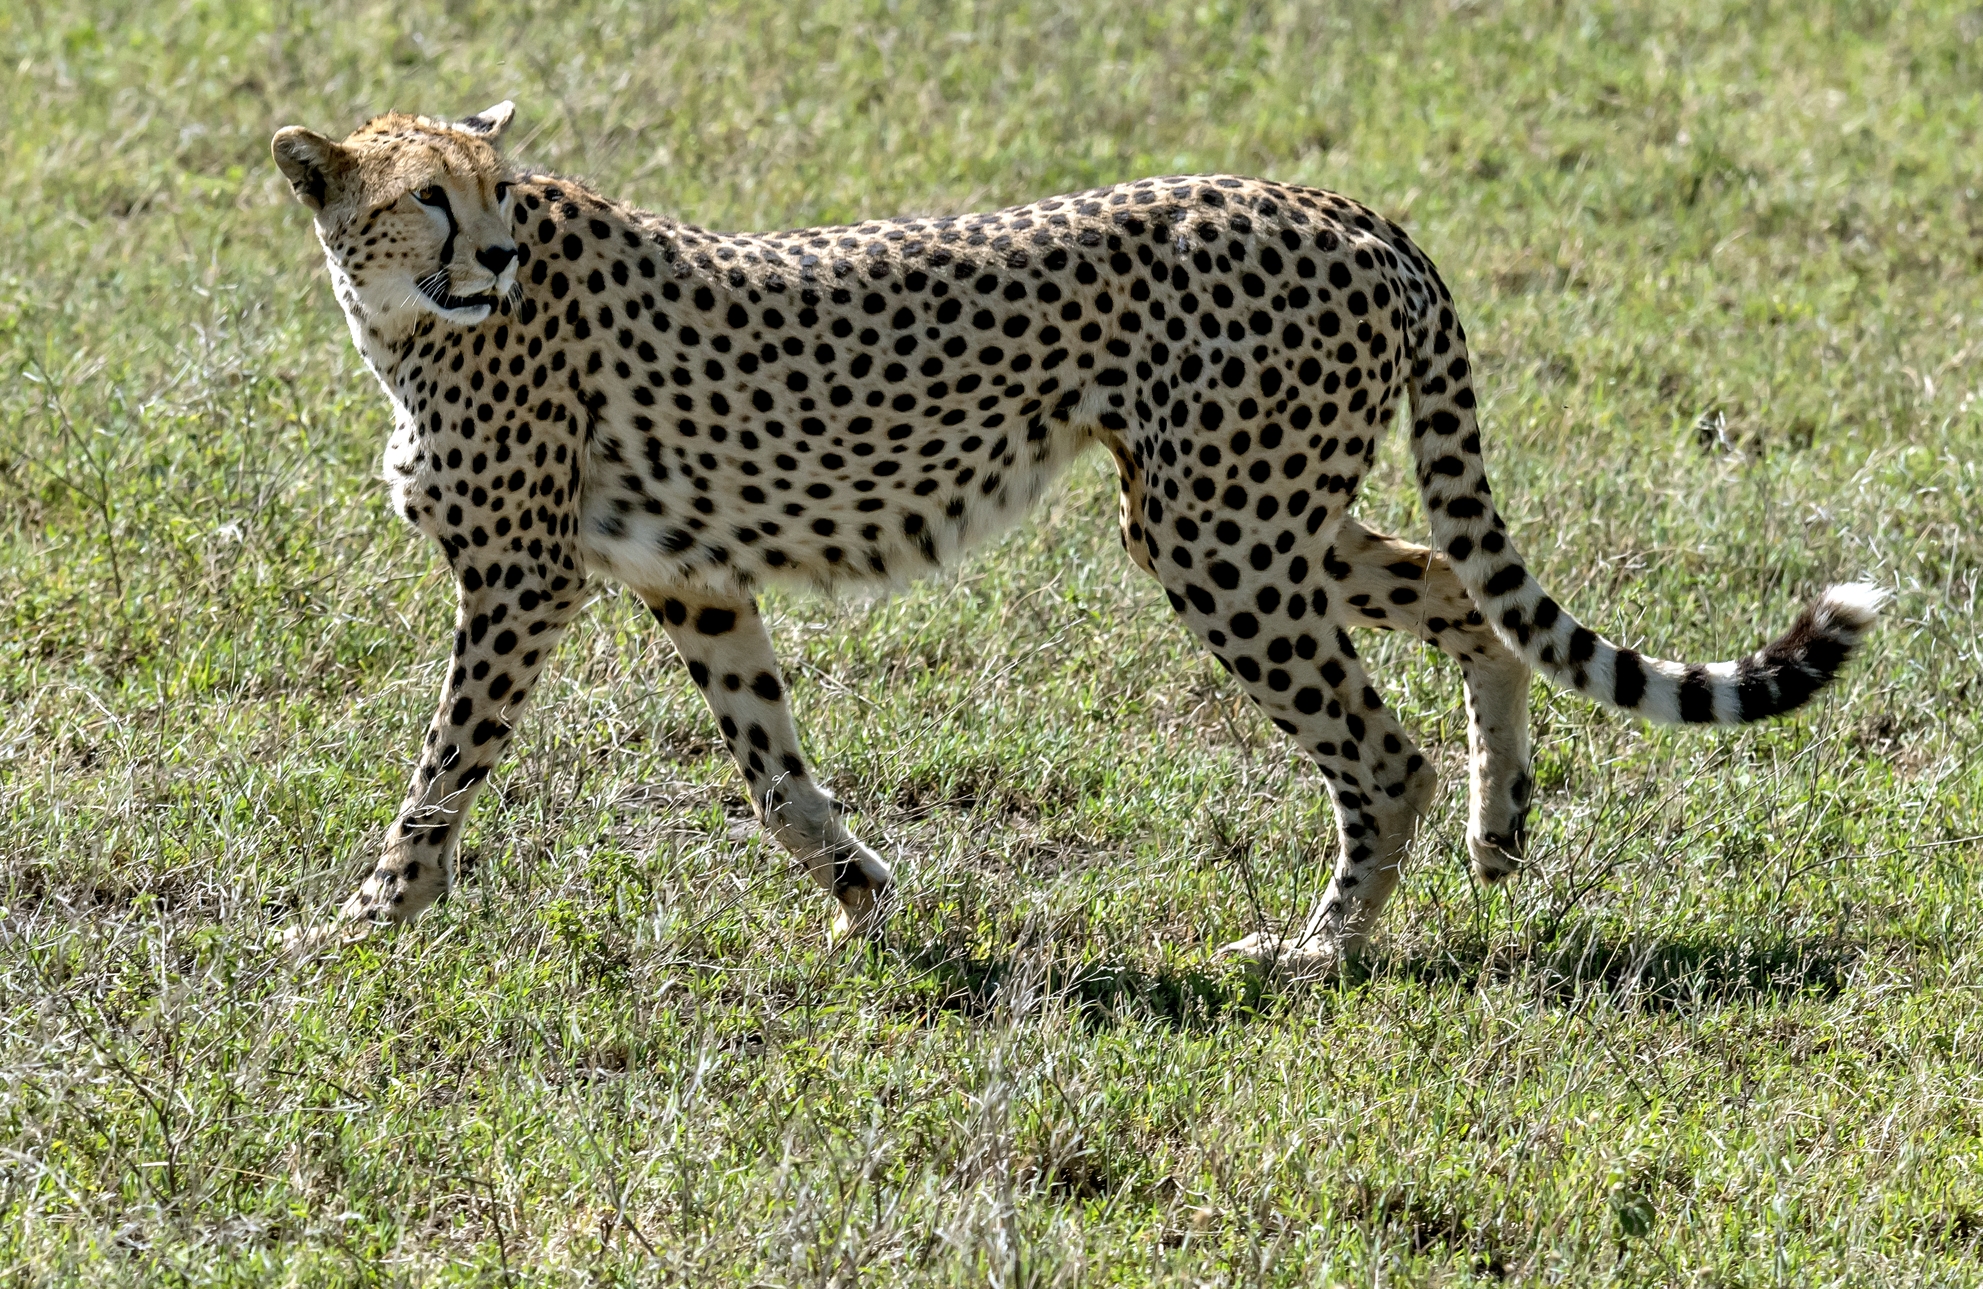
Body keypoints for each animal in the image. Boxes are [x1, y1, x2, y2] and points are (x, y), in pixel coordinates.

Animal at [271, 101, 1883, 965]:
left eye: (496, 196)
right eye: (430, 198)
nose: (493, 254)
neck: (409, 325)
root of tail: (1339, 202)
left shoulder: (519, 581)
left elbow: (438, 773)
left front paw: (358, 924)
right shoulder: (696, 581)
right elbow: (771, 768)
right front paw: (859, 898)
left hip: (1218, 531)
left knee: (1379, 750)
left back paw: (1317, 951)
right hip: (1255, 516)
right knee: (1454, 588)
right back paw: (1501, 825)